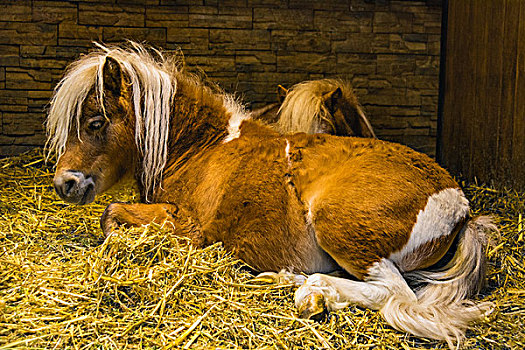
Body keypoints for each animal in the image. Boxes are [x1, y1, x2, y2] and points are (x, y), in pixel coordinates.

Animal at [47, 42, 494, 348]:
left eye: (96, 121)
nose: (64, 183)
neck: (203, 148)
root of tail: (461, 208)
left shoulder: (189, 227)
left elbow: (111, 215)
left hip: (339, 226)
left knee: (393, 293)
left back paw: (312, 294)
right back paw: (290, 283)